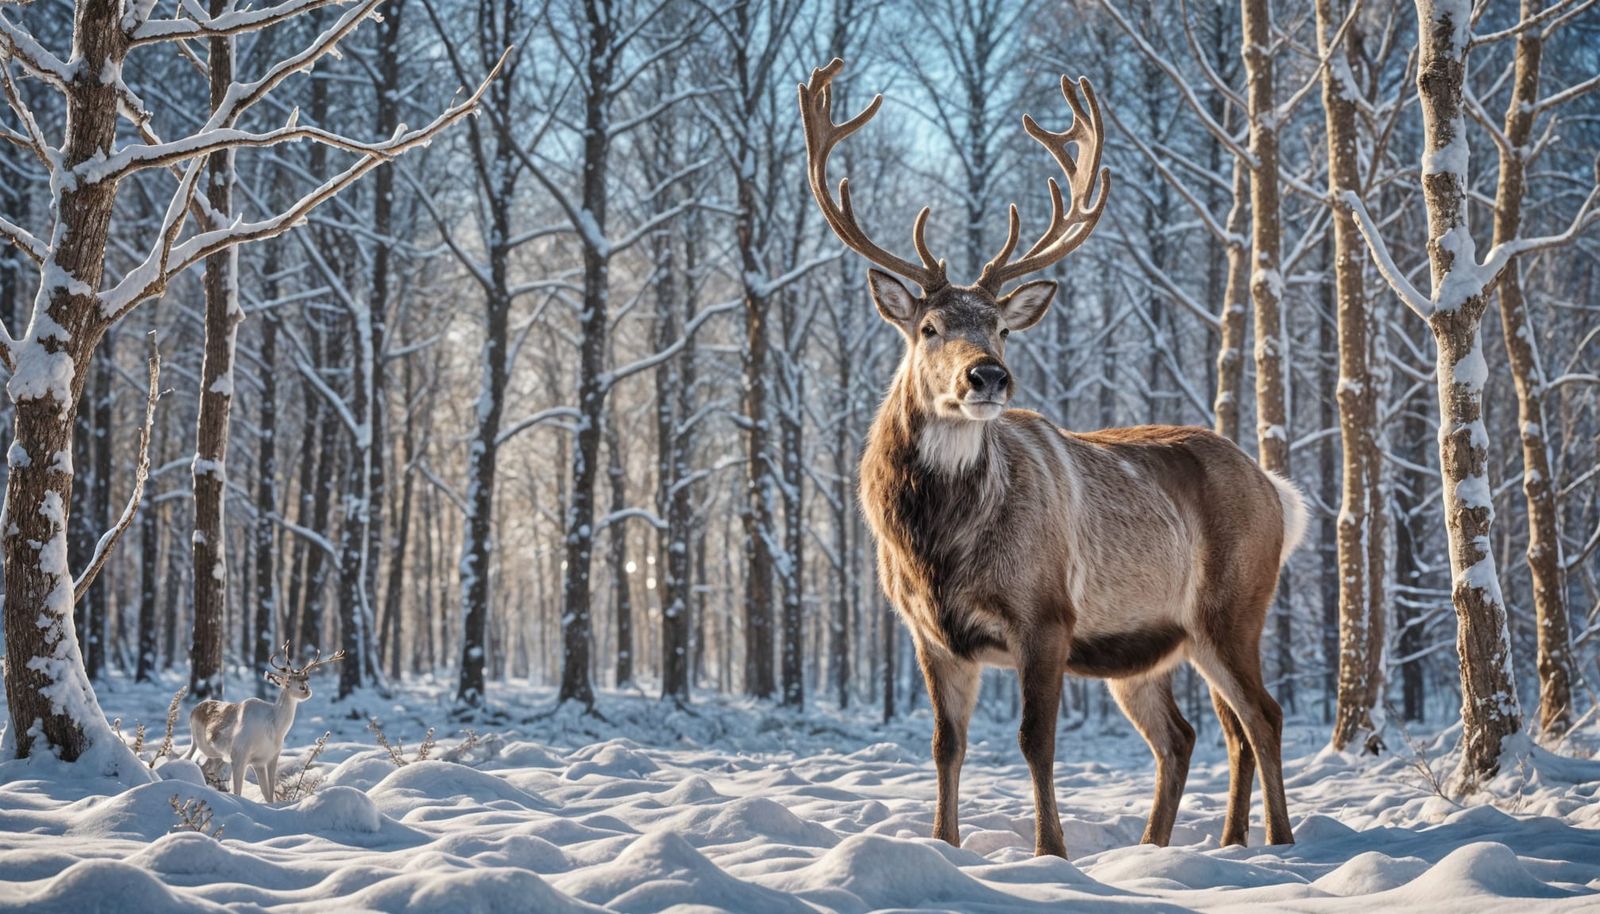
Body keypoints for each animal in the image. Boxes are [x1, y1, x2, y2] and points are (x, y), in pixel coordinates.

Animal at [184, 643, 345, 802]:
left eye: (305, 680)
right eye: (287, 682)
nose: (304, 689)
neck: (274, 729)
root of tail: (194, 710)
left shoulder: (267, 758)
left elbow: (268, 794)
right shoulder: (239, 755)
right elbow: (238, 792)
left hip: (218, 757)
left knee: (204, 767)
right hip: (200, 745)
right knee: (190, 760)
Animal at [798, 59, 1307, 859]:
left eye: (1002, 326)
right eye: (929, 326)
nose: (988, 376)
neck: (937, 545)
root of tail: (1276, 490)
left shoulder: (1046, 614)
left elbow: (1035, 742)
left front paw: (1051, 853)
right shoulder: (928, 632)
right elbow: (946, 747)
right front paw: (945, 845)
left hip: (1234, 606)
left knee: (1263, 716)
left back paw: (1279, 843)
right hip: (1156, 645)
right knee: (1194, 734)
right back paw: (1183, 847)